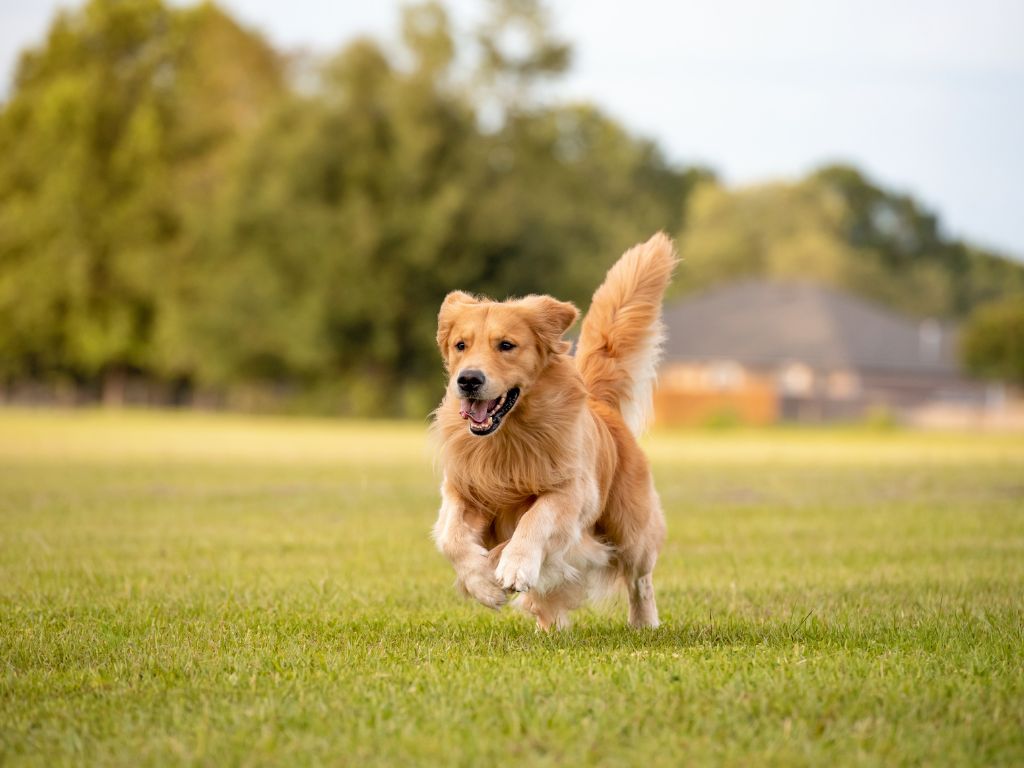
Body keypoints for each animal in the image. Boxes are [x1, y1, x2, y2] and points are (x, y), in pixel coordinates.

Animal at [430, 234, 675, 630]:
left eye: (506, 345)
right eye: (460, 345)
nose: (468, 380)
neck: (508, 436)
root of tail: (602, 405)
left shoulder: (572, 492)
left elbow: (535, 517)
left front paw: (514, 564)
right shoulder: (462, 488)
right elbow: (451, 537)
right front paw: (482, 582)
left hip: (630, 528)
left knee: (640, 578)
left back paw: (644, 623)